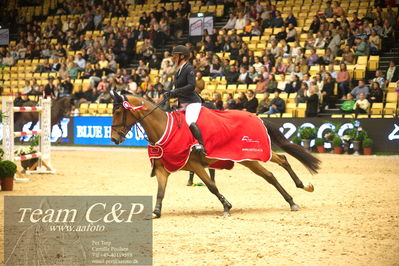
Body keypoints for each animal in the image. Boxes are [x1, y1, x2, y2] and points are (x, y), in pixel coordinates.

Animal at [110, 91, 322, 218]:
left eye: (118, 111)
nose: (113, 138)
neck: (164, 130)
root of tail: (255, 116)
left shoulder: (195, 165)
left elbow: (211, 186)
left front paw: (226, 206)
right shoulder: (163, 169)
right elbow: (161, 192)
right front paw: (155, 212)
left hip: (251, 156)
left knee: (275, 168)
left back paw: (296, 195)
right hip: (248, 159)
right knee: (276, 168)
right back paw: (297, 193)